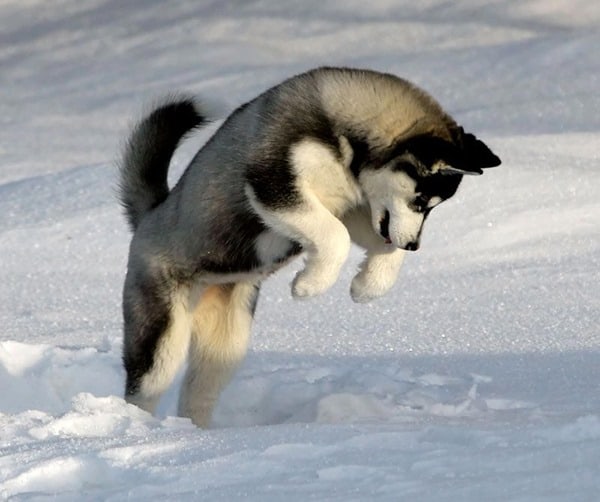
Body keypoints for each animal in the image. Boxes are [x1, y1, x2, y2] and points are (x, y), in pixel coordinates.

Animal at [118, 67, 502, 428]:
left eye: (434, 206)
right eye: (422, 201)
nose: (414, 245)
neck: (342, 134)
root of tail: (150, 215)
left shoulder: (352, 208)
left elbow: (370, 240)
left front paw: (367, 286)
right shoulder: (274, 184)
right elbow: (335, 237)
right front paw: (309, 285)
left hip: (227, 343)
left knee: (198, 393)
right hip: (162, 335)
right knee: (144, 389)